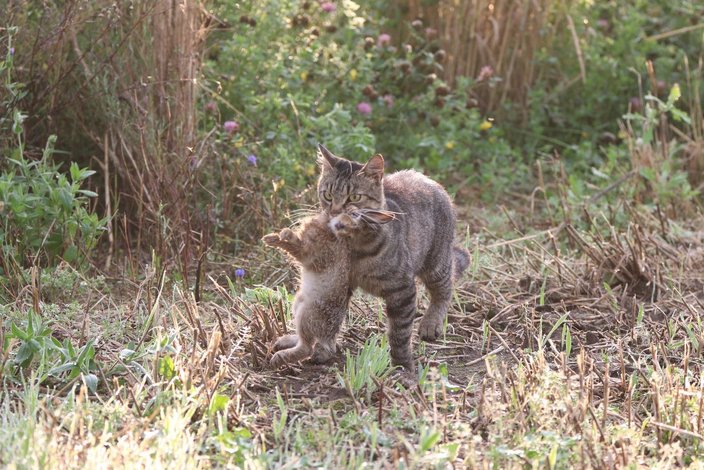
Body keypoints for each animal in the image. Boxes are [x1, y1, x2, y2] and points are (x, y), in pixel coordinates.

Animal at [262, 209, 393, 368]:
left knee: (307, 347)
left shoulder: (313, 253)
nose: (341, 225)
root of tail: (328, 336)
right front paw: (271, 238)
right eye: (352, 214)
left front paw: (283, 235)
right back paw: (281, 342)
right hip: (298, 304)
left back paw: (278, 357)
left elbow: (297, 249)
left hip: (307, 314)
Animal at [316, 144, 470, 372]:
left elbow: (400, 333)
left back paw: (431, 323)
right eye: (327, 195)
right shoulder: (338, 284)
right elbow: (330, 317)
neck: (354, 249)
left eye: (354, 198)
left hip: (436, 262)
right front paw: (323, 348)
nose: (334, 211)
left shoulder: (403, 290)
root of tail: (426, 178)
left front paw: (402, 365)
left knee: (444, 288)